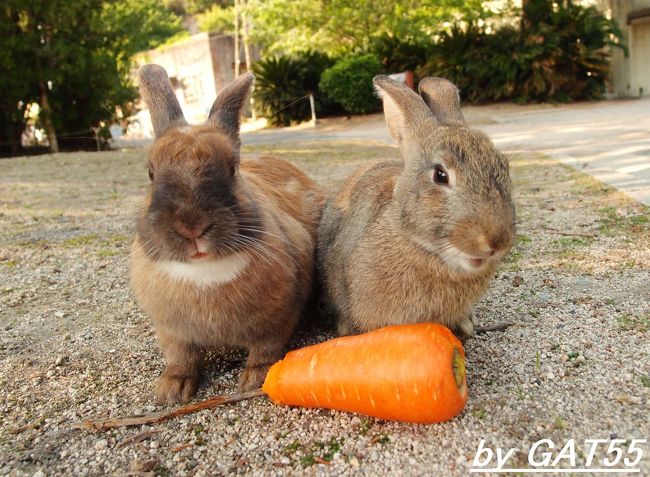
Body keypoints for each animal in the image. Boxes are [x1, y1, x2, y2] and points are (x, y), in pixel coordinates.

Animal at [130, 65, 324, 404]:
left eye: (232, 168)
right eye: (151, 173)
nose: (192, 226)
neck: (205, 271)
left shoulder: (276, 321)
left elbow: (266, 349)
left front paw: (254, 379)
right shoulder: (172, 332)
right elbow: (180, 357)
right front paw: (172, 390)